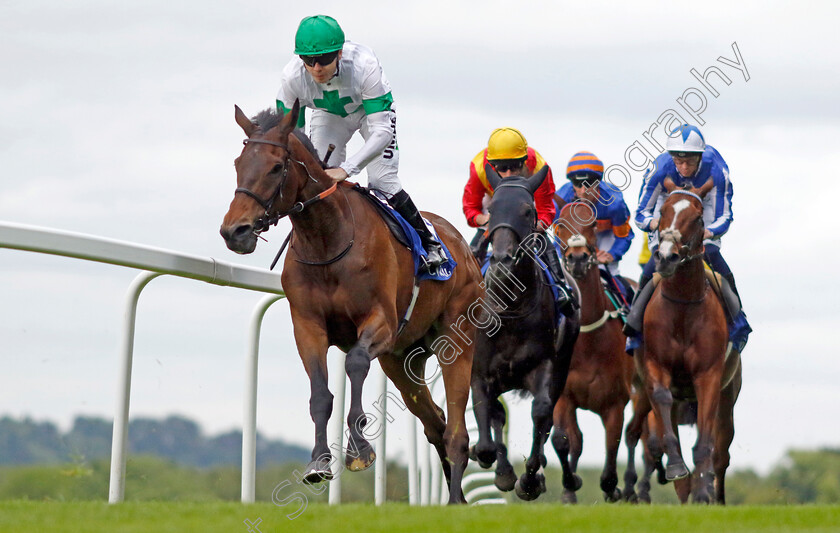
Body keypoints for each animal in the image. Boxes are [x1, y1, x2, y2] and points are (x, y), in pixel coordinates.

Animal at [220, 101, 482, 502]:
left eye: (276, 167)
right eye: (238, 162)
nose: (235, 231)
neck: (327, 240)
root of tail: (462, 248)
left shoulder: (380, 322)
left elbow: (355, 362)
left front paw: (358, 449)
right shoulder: (307, 326)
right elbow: (320, 394)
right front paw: (318, 462)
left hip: (455, 339)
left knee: (454, 428)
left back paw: (455, 498)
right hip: (401, 361)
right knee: (435, 421)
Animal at [470, 162, 580, 498]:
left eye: (528, 211)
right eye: (492, 210)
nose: (503, 263)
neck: (510, 309)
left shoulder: (544, 366)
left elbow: (542, 413)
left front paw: (530, 480)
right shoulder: (480, 372)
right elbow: (487, 430)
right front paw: (499, 468)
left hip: (563, 364)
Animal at [548, 200, 632, 502]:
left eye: (593, 223)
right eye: (559, 224)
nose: (578, 258)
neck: (588, 341)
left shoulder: (616, 402)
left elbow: (613, 443)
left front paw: (612, 488)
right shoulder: (563, 396)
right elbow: (563, 439)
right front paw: (569, 486)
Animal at [632, 179, 740, 502]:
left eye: (698, 218)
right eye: (663, 212)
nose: (667, 257)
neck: (682, 307)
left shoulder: (709, 375)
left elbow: (706, 444)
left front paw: (704, 492)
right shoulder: (656, 367)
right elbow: (662, 404)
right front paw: (677, 467)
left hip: (729, 397)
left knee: (721, 454)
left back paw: (714, 496)